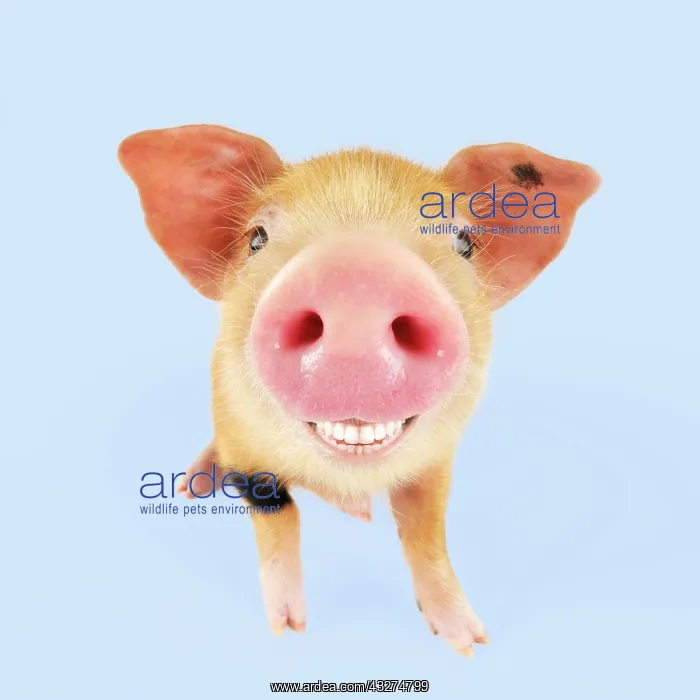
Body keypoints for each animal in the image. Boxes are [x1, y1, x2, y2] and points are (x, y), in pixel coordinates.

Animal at [118, 125, 600, 657]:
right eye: (256, 239)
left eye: (464, 241)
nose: (357, 275)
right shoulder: (245, 448)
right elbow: (277, 516)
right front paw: (289, 629)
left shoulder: (436, 460)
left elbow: (426, 533)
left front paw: (470, 642)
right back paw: (195, 485)